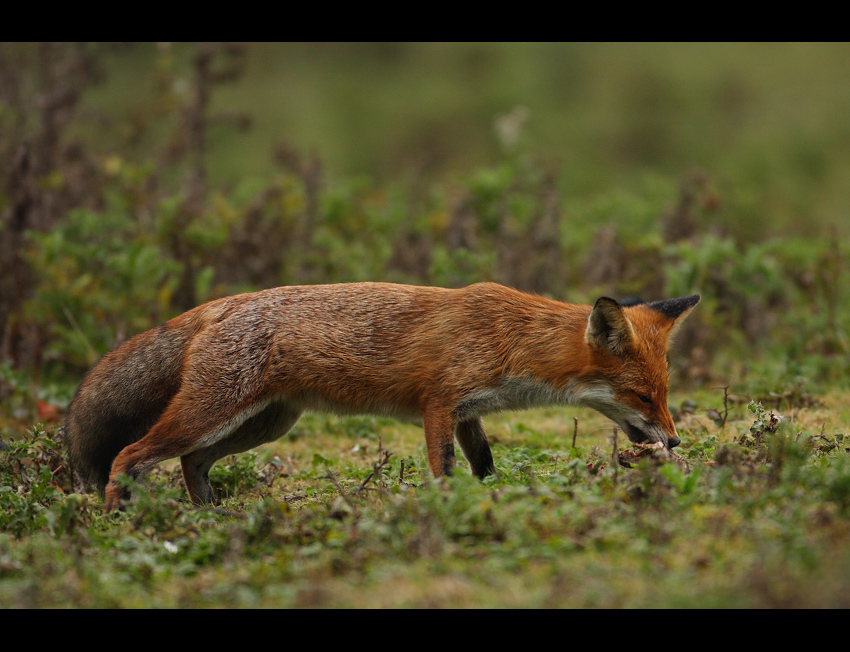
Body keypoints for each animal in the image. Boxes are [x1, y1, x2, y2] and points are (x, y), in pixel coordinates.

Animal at [59, 282, 696, 512]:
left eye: (665, 394)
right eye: (643, 396)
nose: (673, 440)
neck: (511, 340)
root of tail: (219, 304)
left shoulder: (468, 413)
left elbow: (485, 463)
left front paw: (488, 499)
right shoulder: (438, 405)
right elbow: (445, 469)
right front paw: (447, 509)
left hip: (263, 424)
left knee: (191, 462)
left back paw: (209, 515)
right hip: (212, 414)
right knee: (130, 455)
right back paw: (117, 517)